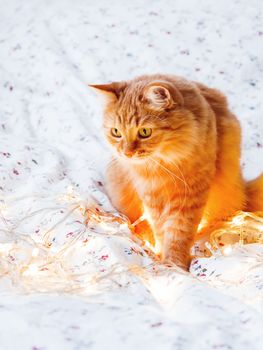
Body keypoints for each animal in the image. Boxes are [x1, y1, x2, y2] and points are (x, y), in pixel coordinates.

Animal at [91, 74, 263, 270]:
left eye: (145, 132)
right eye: (116, 132)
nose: (127, 153)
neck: (161, 167)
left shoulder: (189, 197)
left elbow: (178, 235)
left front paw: (175, 265)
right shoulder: (152, 198)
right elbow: (161, 231)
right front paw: (162, 257)